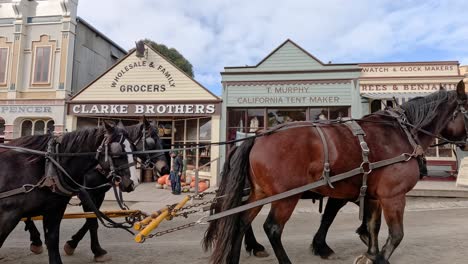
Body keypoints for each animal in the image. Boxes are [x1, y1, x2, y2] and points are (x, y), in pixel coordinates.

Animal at [0, 121, 138, 264]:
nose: (133, 182)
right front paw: (95, 250)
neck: (47, 169)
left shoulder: (55, 209)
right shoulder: (8, 215)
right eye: (117, 152)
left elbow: (53, 240)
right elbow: (92, 222)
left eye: (134, 149)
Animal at [23, 118, 170, 262]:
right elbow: (92, 222)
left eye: (162, 141)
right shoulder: (86, 193)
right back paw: (36, 239)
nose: (165, 169)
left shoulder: (99, 194)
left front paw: (72, 244)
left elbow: (93, 219)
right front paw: (97, 251)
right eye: (150, 142)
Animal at [204, 81, 468, 264]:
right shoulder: (392, 195)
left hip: (259, 193)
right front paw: (378, 258)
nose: (465, 144)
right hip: (285, 196)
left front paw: (370, 253)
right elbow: (396, 234)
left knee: (240, 222)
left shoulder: (372, 195)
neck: (401, 133)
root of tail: (258, 137)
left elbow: (373, 225)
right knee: (272, 228)